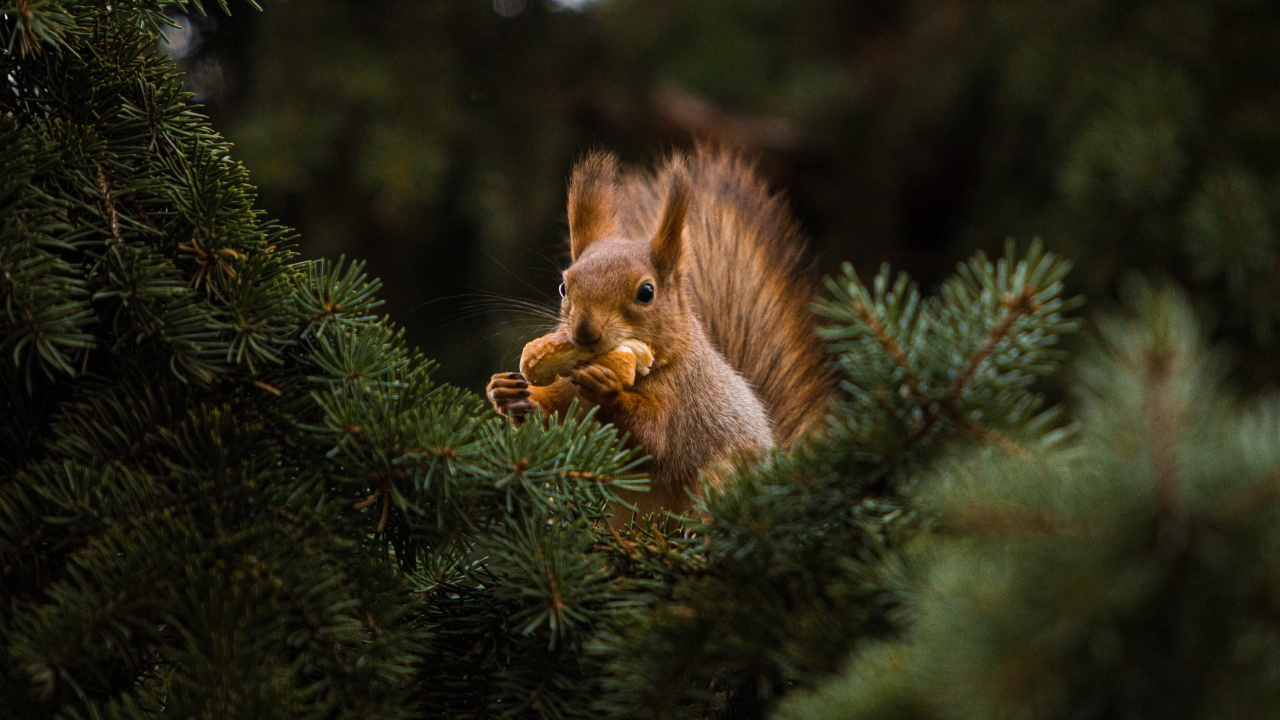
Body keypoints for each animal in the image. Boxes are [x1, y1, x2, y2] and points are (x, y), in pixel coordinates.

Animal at [487, 146, 835, 517]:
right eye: (564, 286)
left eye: (646, 293)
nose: (584, 330)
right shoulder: (569, 393)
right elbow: (554, 414)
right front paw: (507, 392)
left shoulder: (683, 398)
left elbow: (654, 439)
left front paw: (607, 389)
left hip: (721, 478)